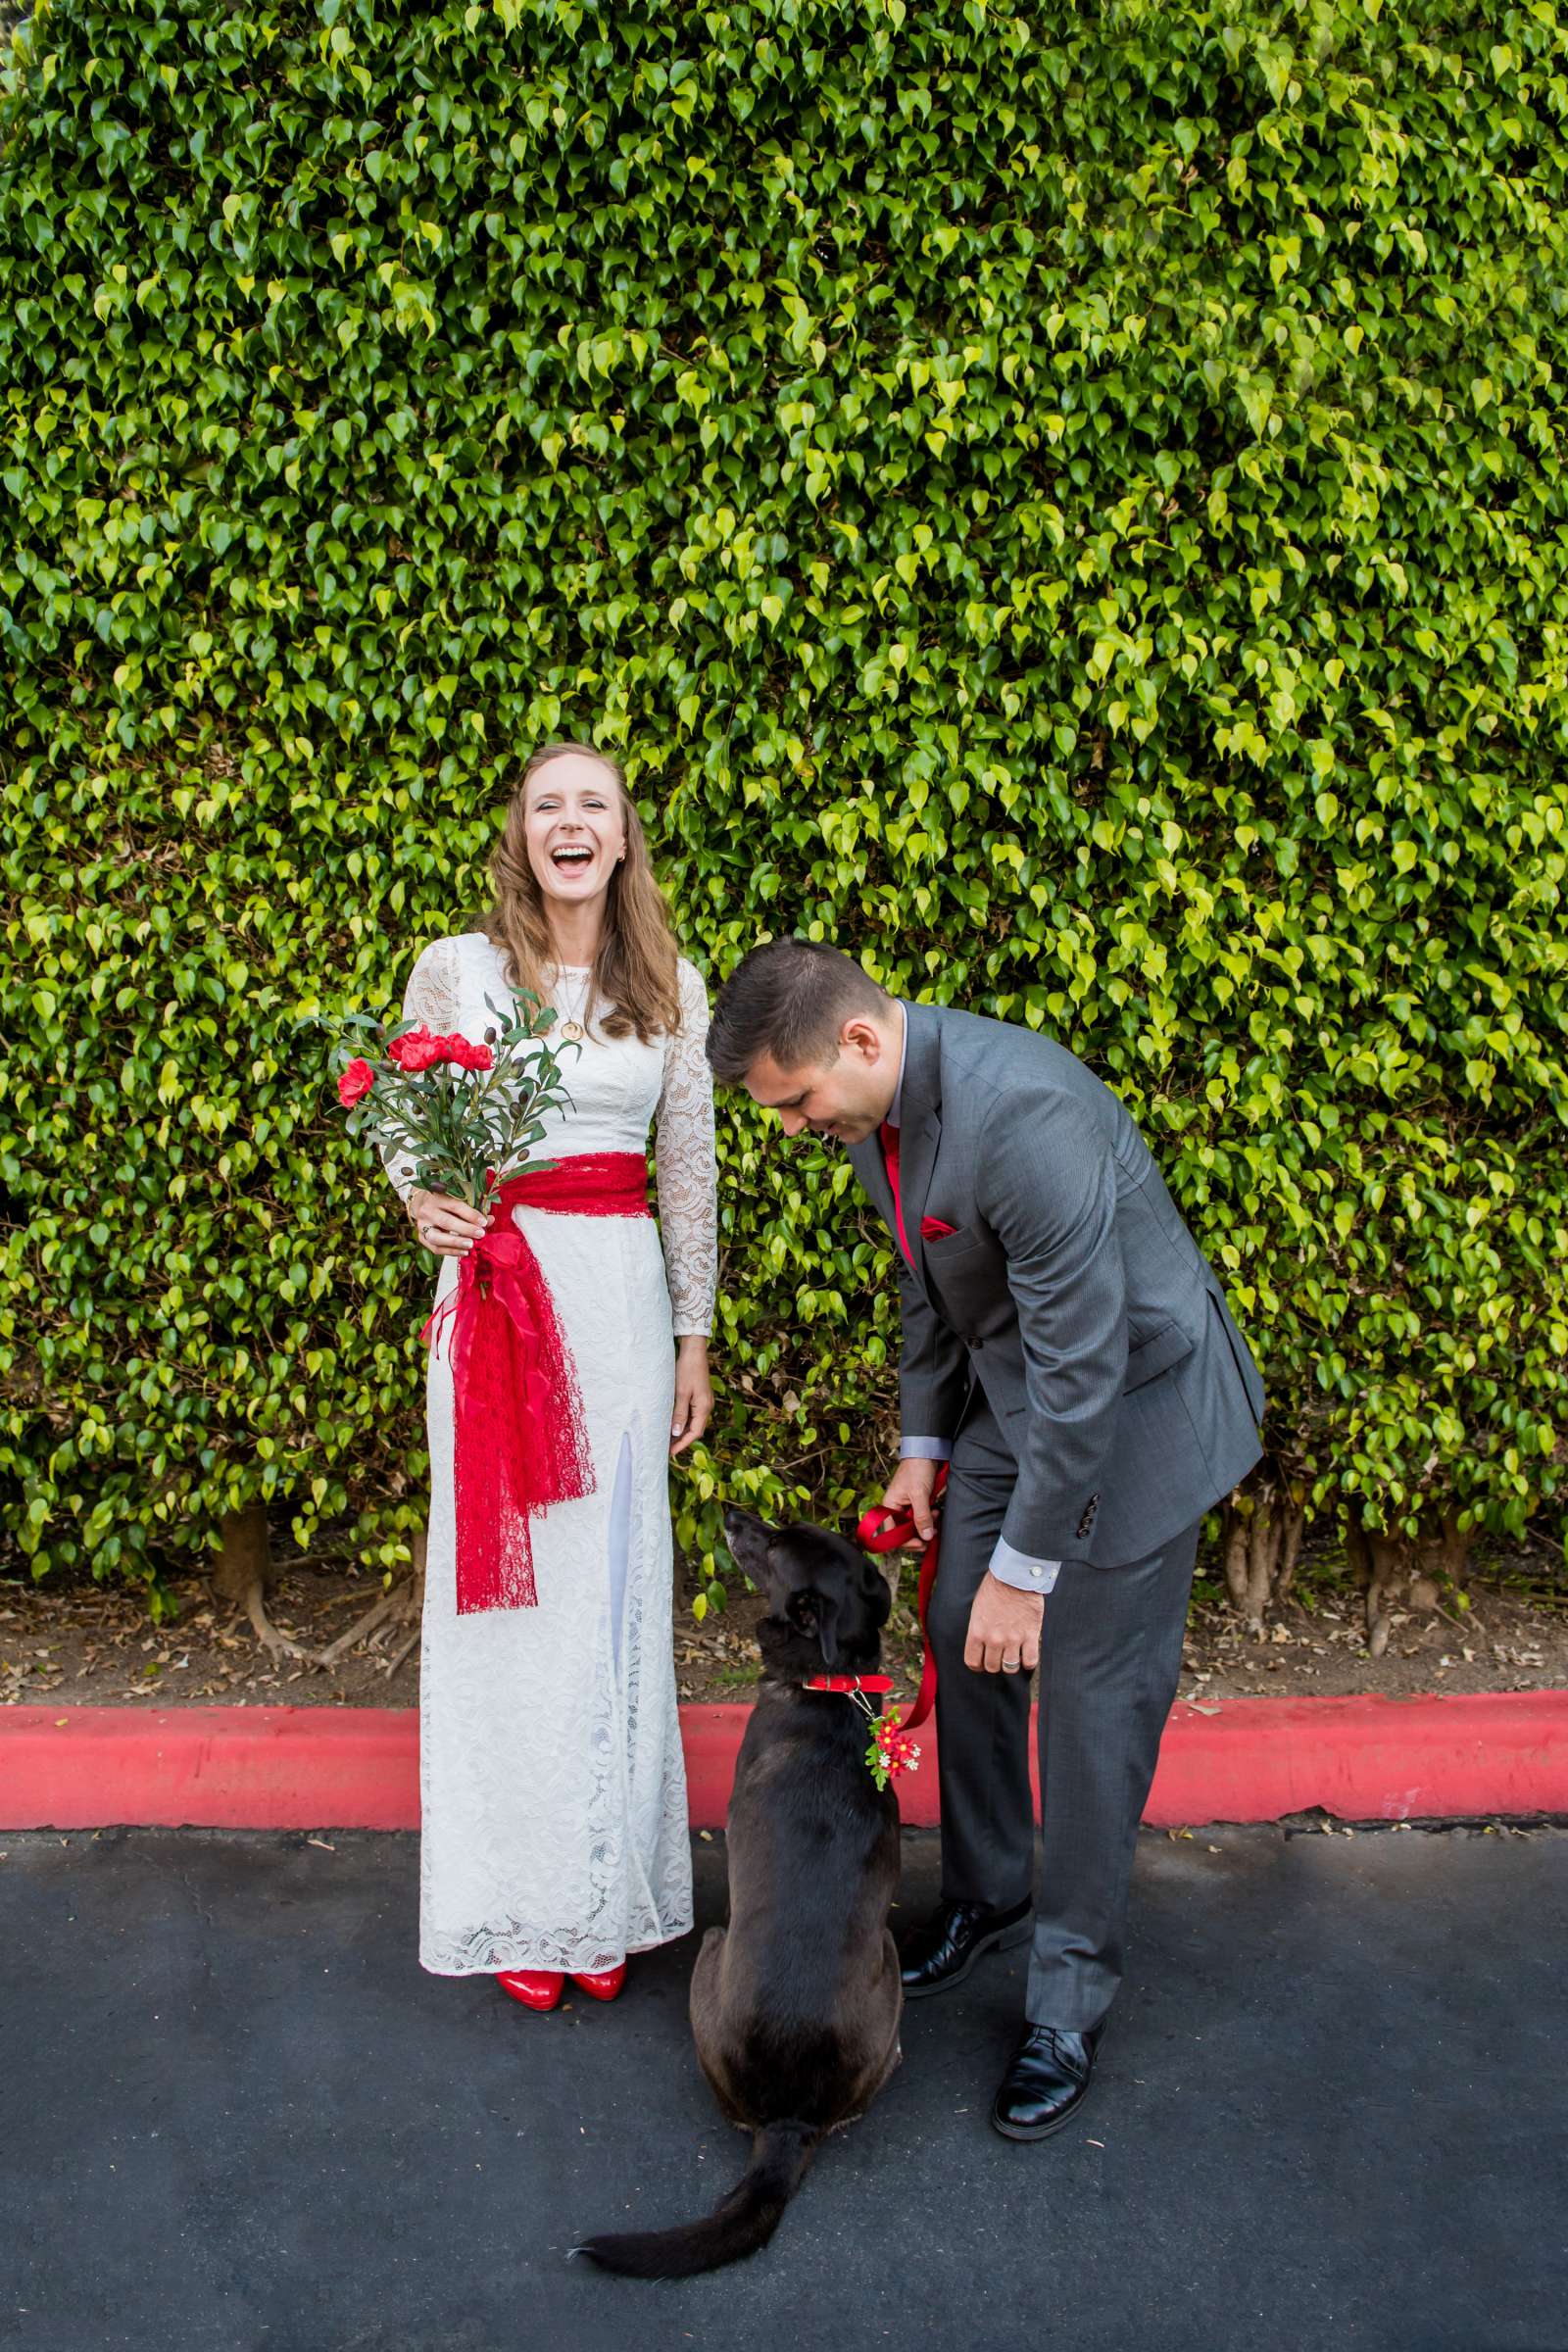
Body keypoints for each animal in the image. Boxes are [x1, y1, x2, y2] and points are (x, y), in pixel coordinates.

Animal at [575, 1505, 903, 2277]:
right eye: (793, 1526)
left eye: (774, 1545)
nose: (730, 1513)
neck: (828, 1681)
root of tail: (787, 2123)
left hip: (739, 1950)